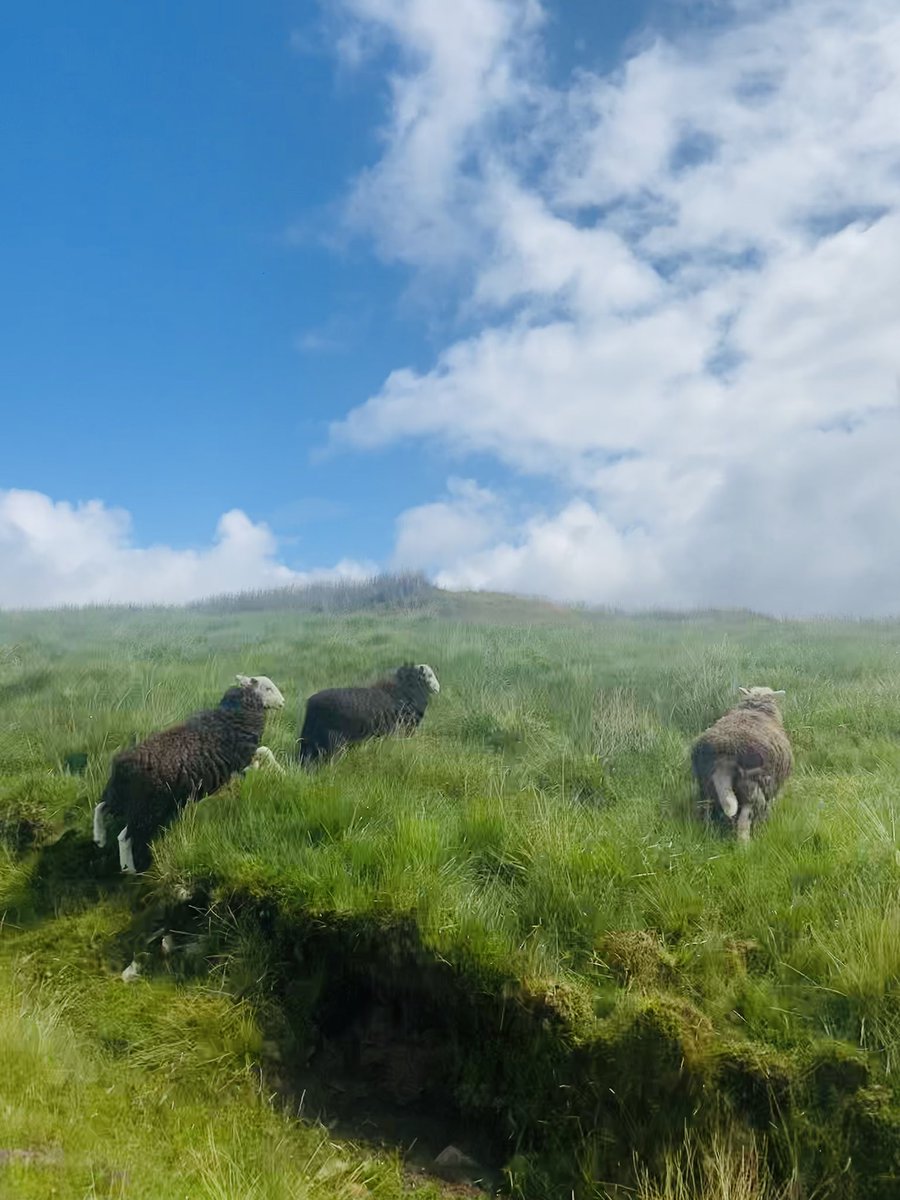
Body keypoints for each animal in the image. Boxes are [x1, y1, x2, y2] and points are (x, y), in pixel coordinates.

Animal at [93, 674, 285, 873]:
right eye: (267, 688)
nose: (283, 702)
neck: (232, 716)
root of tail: (122, 764)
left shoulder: (240, 761)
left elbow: (260, 758)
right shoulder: (242, 755)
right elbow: (266, 751)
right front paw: (282, 772)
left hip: (121, 796)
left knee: (101, 806)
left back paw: (99, 837)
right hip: (146, 809)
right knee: (124, 837)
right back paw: (128, 868)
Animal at [691, 686, 792, 841]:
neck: (756, 709)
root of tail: (725, 757)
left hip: (706, 786)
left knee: (707, 813)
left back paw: (707, 833)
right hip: (752, 788)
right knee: (744, 821)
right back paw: (745, 844)